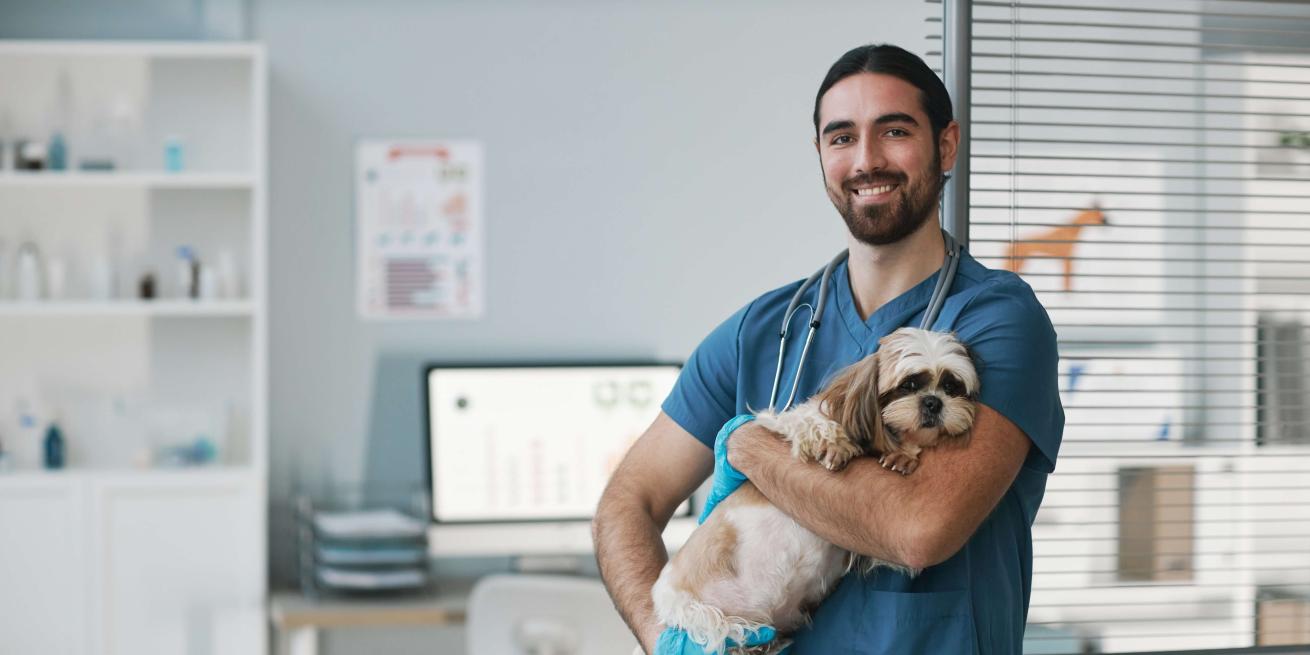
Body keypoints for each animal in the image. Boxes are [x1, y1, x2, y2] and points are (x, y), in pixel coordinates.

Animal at [649, 330, 979, 652]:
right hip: (691, 609)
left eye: (951, 386)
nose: (933, 402)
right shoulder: (787, 420)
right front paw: (837, 445)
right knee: (714, 626)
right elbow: (813, 423)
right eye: (909, 384)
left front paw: (904, 455)